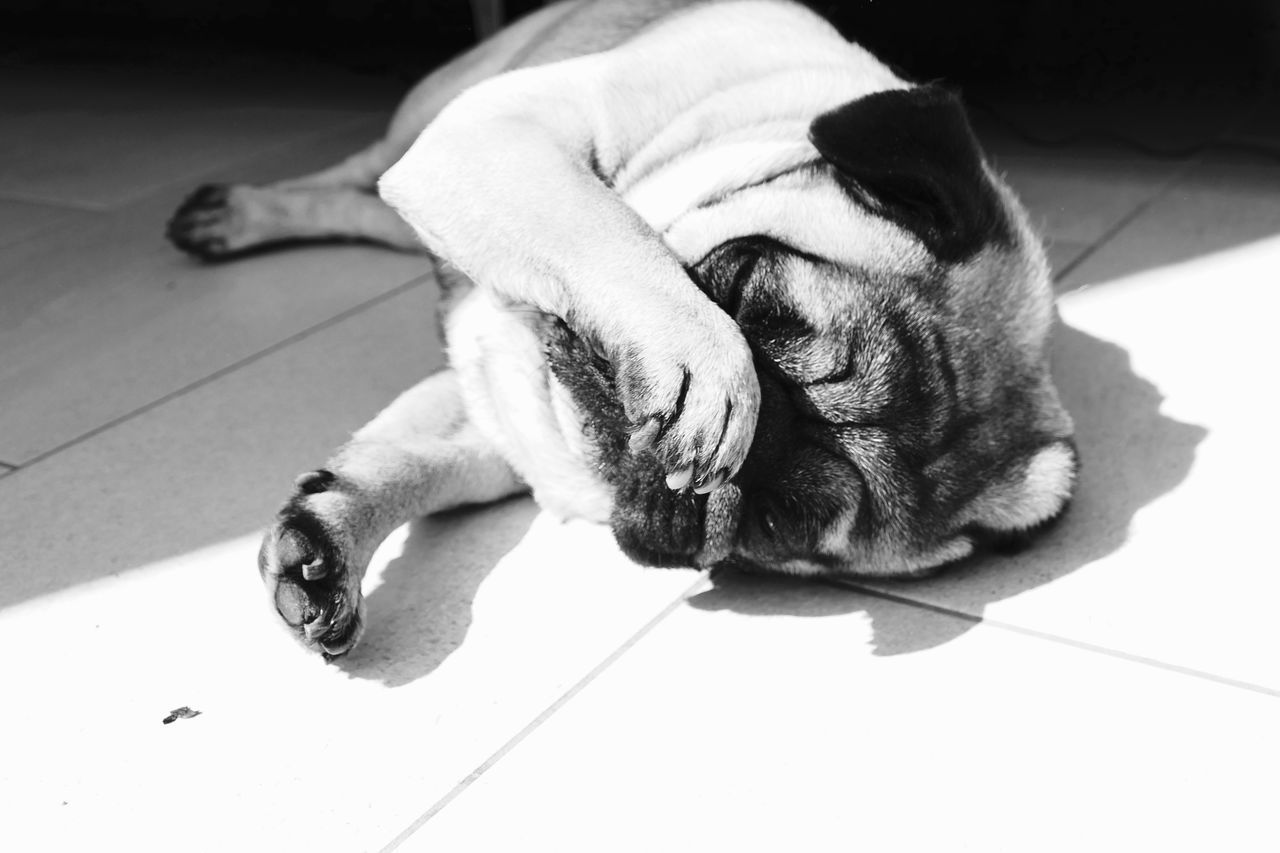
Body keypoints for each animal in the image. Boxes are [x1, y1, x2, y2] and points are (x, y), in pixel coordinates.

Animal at [165, 0, 1075, 655]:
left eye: (778, 524)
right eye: (743, 291)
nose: (755, 444)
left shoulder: (498, 424)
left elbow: (404, 465)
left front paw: (326, 542)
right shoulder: (498, 136)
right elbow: (608, 230)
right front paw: (709, 371)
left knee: (370, 213)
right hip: (433, 110)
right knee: (355, 176)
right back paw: (238, 214)